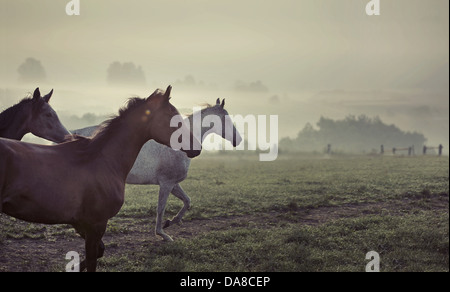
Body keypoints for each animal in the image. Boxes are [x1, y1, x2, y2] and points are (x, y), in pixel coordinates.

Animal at [0, 86, 200, 272]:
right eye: (173, 118)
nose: (196, 148)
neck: (102, 159)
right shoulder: (96, 224)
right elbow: (92, 258)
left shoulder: (81, 223)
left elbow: (98, 252)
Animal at [73, 99, 243, 241]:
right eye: (226, 119)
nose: (238, 140)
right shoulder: (166, 183)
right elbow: (161, 208)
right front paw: (163, 234)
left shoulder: (173, 184)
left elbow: (187, 201)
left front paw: (172, 221)